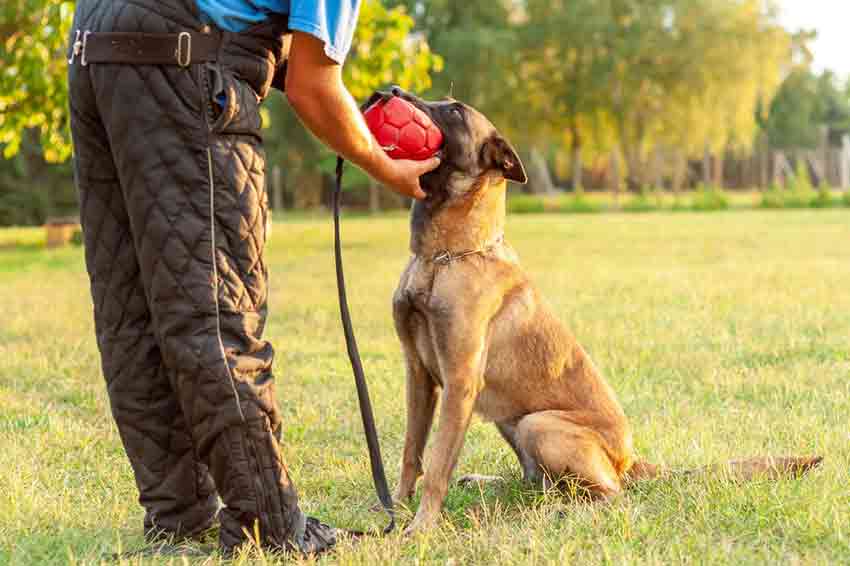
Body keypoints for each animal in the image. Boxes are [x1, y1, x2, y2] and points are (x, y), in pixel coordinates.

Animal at [374, 86, 820, 536]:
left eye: (454, 111)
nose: (391, 92)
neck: (444, 257)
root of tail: (629, 459)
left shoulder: (460, 382)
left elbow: (437, 464)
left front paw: (421, 527)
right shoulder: (419, 376)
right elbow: (412, 452)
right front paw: (394, 509)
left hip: (539, 424)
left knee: (609, 495)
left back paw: (563, 511)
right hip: (514, 423)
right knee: (538, 482)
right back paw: (490, 482)